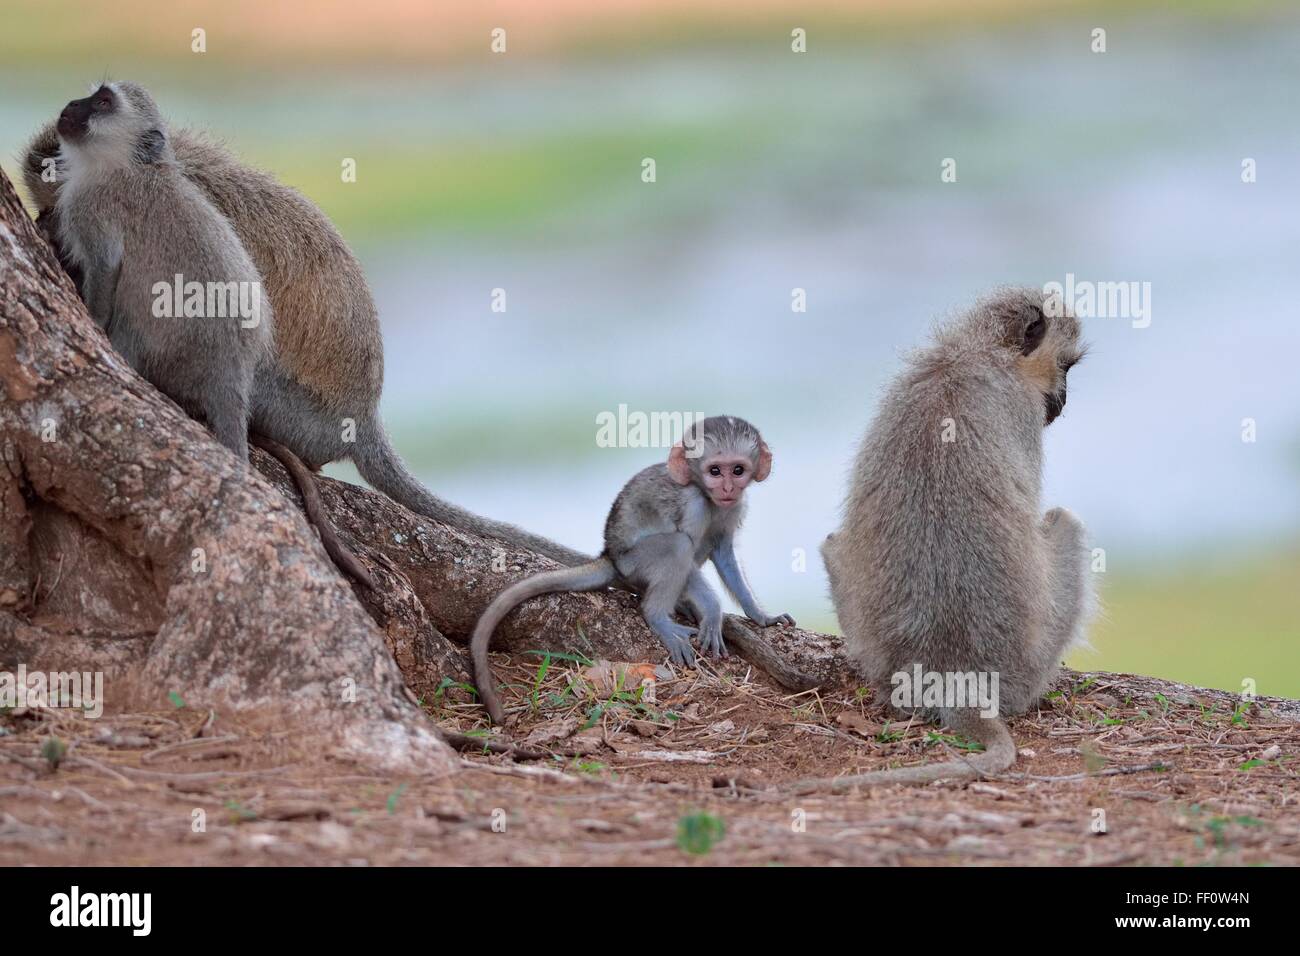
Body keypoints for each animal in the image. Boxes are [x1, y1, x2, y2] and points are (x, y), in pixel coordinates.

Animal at [51, 82, 271, 462]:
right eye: (93, 94)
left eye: (104, 102)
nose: (72, 104)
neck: (126, 164)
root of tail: (232, 367)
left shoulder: (91, 205)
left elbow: (107, 265)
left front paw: (92, 319)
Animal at [470, 416, 795, 724]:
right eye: (715, 471)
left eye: (737, 470)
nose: (727, 487)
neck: (707, 495)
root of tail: (611, 556)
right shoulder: (694, 504)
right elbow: (688, 553)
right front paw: (713, 612)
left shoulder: (734, 506)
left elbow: (724, 552)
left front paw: (762, 616)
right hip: (635, 561)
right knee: (678, 546)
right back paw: (658, 615)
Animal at [799, 287, 1092, 791]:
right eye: (1067, 367)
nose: (1063, 400)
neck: (970, 352)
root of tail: (953, 673)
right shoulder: (1020, 411)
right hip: (1028, 665)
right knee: (1064, 524)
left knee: (834, 544)